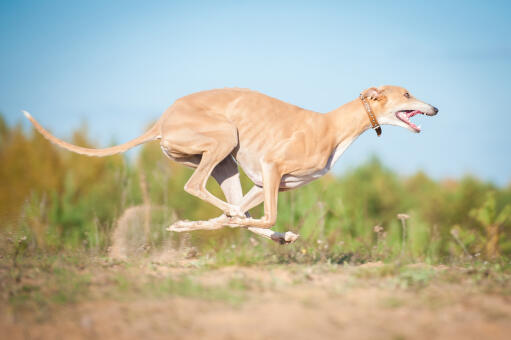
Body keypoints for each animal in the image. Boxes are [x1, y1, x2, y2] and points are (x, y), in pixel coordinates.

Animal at [24, 86, 438, 243]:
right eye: (406, 94)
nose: (434, 108)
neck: (333, 126)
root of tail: (161, 122)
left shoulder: (267, 182)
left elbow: (252, 215)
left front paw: (193, 225)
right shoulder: (272, 166)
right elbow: (266, 215)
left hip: (225, 161)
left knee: (231, 206)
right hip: (225, 137)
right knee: (199, 189)